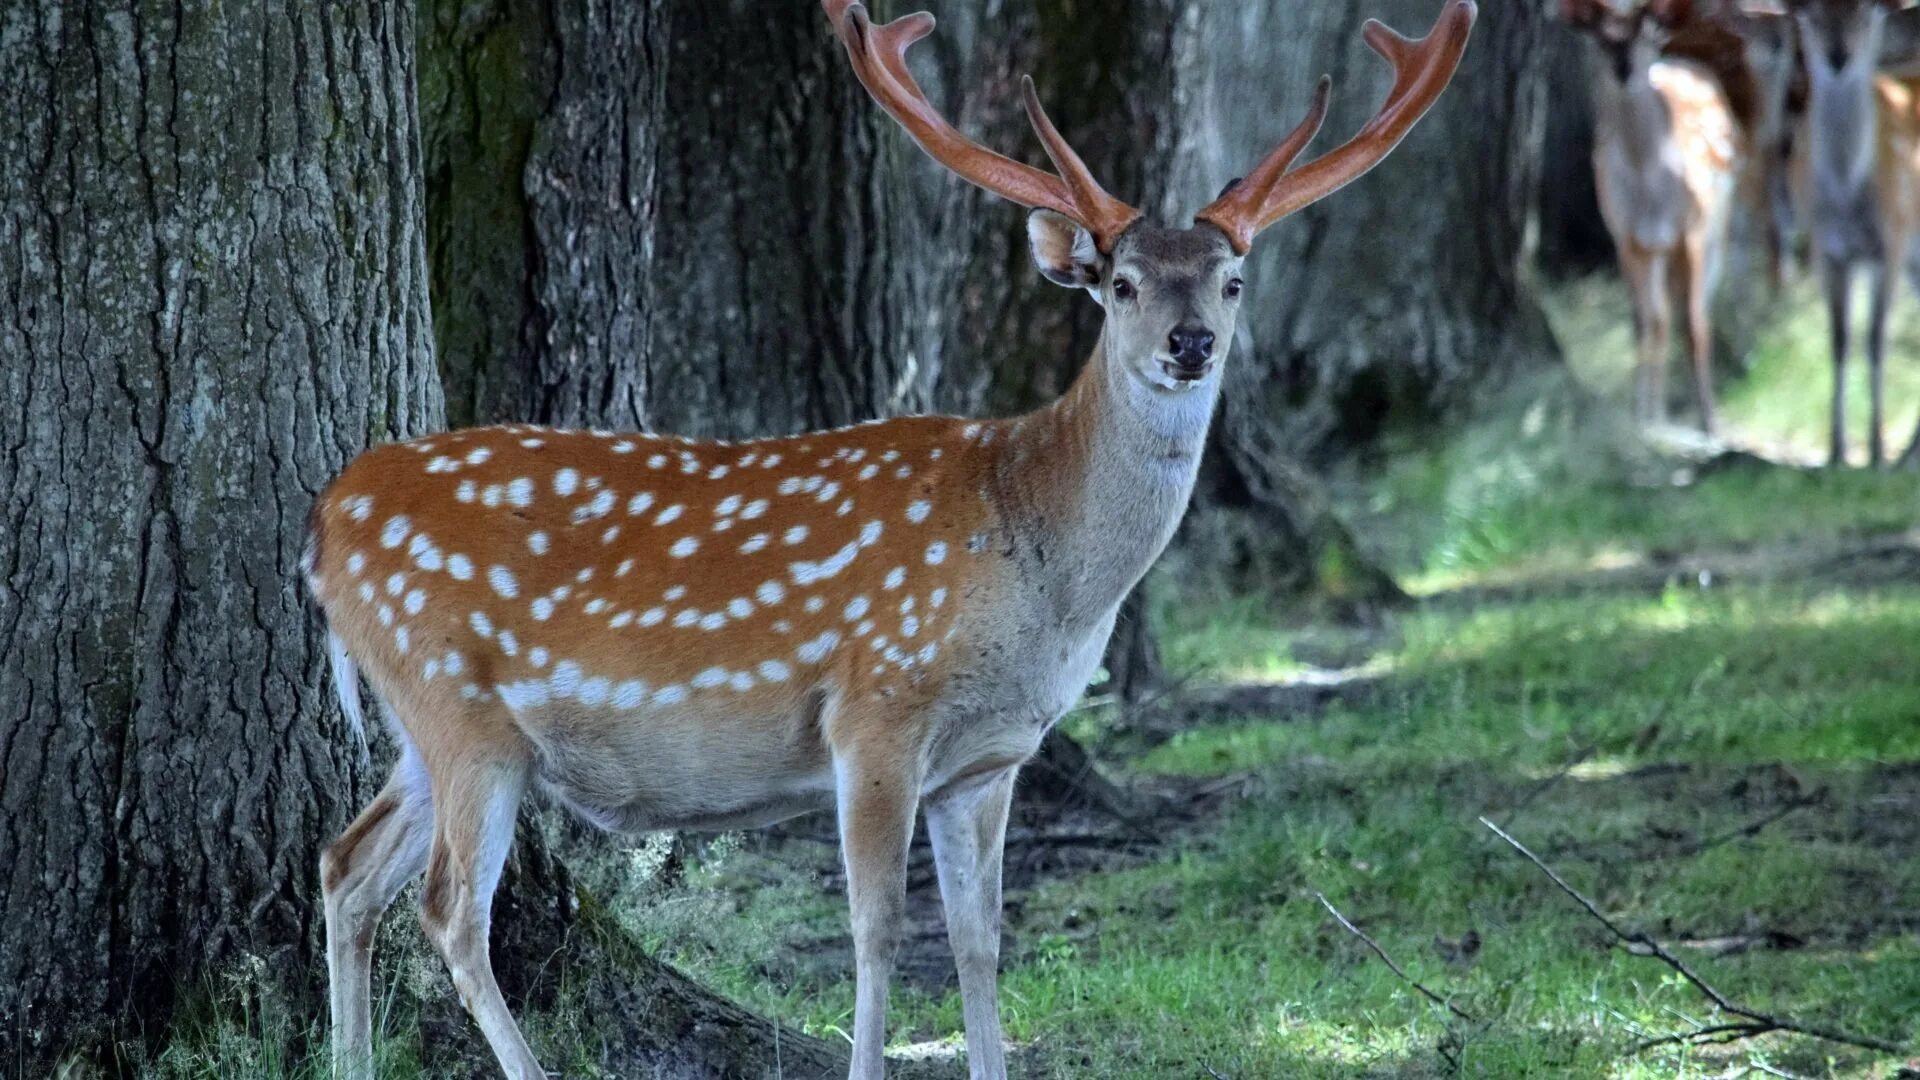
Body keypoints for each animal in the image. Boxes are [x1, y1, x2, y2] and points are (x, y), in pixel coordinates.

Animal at [303, 4, 1466, 1068]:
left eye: (1231, 281)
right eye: (1122, 283)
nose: (1190, 344)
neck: (1038, 568)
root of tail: (322, 524)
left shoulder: (988, 759)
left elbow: (980, 943)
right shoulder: (874, 706)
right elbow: (877, 932)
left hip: (424, 723)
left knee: (346, 864)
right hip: (458, 706)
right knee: (450, 910)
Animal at [1566, 0, 1751, 432]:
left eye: (1645, 30)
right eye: (1600, 37)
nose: (1623, 67)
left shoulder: (1692, 229)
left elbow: (1694, 323)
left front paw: (1709, 419)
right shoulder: (1626, 237)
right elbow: (1647, 321)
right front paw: (1646, 414)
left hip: (1720, 221)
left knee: (1713, 296)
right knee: (1662, 313)